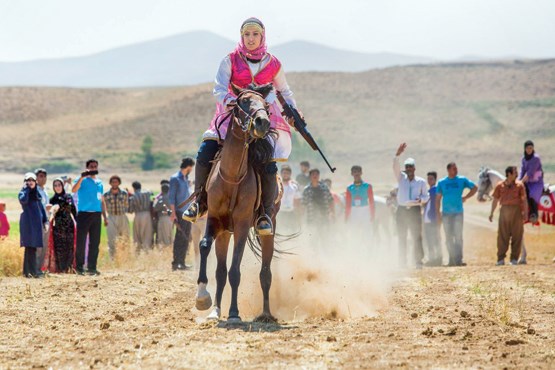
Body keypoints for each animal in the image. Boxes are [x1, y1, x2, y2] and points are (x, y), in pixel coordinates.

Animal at [197, 84, 282, 324]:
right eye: (243, 102)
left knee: (265, 272)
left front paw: (234, 313)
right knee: (220, 271)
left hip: (268, 229)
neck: (232, 177)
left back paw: (266, 314)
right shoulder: (214, 220)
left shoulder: (243, 225)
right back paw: (216, 310)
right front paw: (203, 299)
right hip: (225, 233)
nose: (262, 122)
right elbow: (205, 247)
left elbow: (235, 270)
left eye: (265, 105)